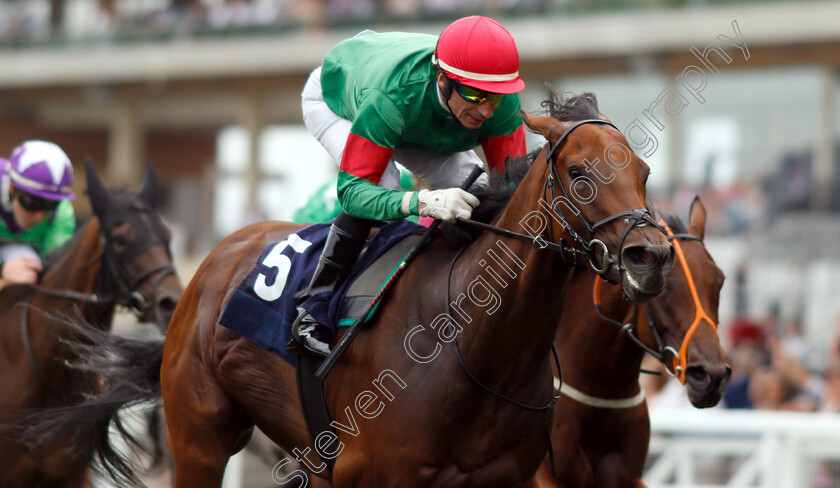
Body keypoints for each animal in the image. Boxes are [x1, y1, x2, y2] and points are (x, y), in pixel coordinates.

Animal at [21, 91, 676, 488]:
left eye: (644, 172)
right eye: (579, 173)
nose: (652, 256)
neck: (480, 349)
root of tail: (212, 262)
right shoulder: (371, 472)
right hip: (199, 434)